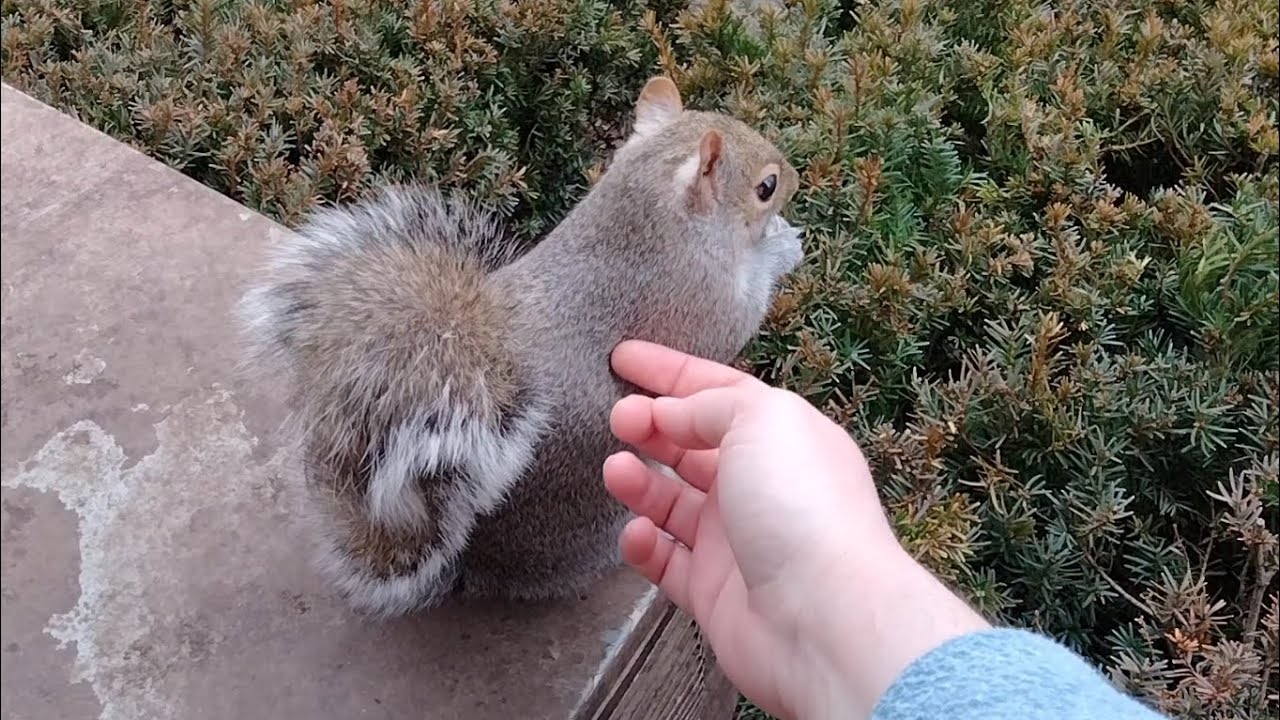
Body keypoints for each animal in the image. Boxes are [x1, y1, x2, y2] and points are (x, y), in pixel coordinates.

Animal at [237, 76, 804, 617]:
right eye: (765, 186)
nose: (797, 178)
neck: (646, 219)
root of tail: (478, 561)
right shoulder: (692, 303)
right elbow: (733, 326)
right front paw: (781, 247)